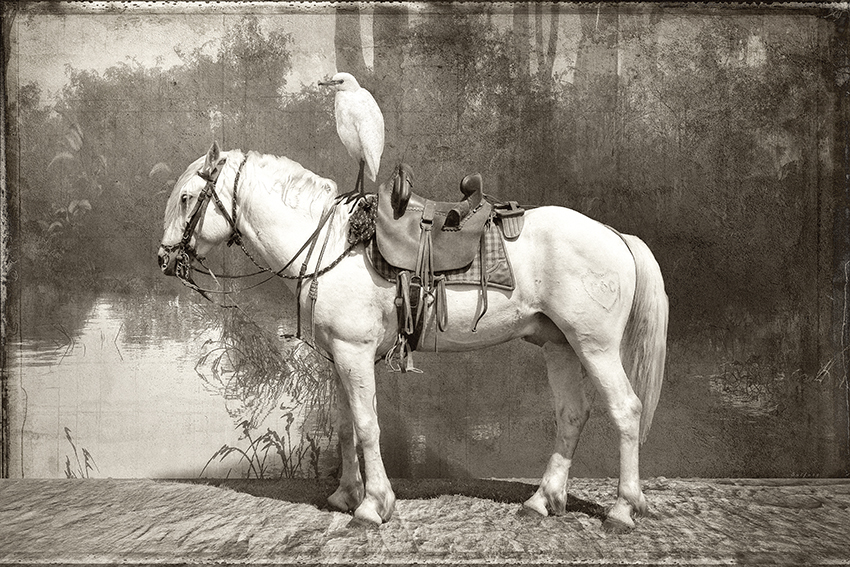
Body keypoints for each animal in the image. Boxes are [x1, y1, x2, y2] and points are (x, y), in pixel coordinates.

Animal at [158, 142, 668, 532]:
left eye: (186, 198)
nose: (164, 259)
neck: (331, 245)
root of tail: (615, 235)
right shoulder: (339, 357)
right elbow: (346, 426)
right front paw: (346, 494)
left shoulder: (354, 352)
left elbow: (367, 426)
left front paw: (372, 506)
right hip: (560, 346)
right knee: (572, 415)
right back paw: (543, 501)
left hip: (595, 346)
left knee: (626, 411)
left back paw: (623, 510)